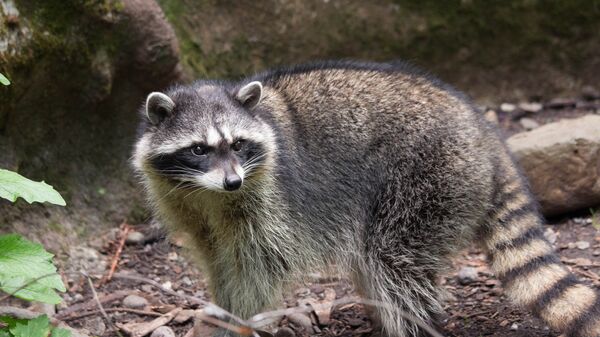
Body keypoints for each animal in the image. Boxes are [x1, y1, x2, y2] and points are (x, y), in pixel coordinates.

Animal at [132, 61, 600, 336]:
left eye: (238, 144)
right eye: (199, 149)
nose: (231, 183)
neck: (208, 193)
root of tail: (482, 130)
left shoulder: (270, 201)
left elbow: (259, 268)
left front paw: (234, 316)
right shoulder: (187, 204)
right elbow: (218, 260)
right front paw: (217, 305)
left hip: (428, 178)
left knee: (395, 263)